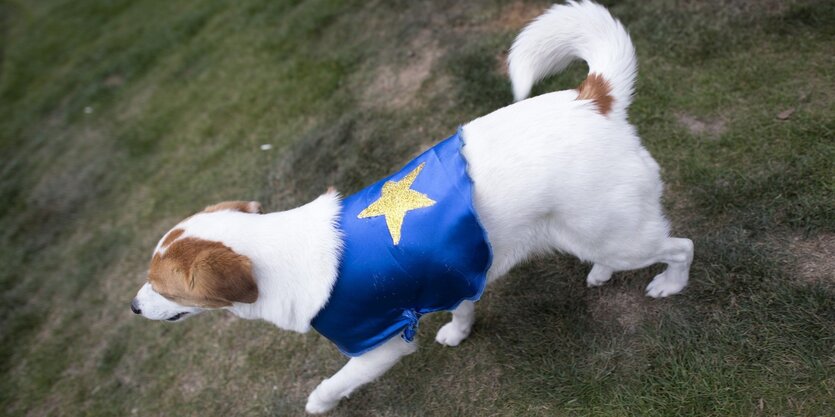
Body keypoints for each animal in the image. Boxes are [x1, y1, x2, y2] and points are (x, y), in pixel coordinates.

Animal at [131, 0, 692, 412]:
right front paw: (458, 331)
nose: (134, 307)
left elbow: (336, 381)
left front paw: (318, 403)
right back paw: (598, 273)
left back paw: (668, 284)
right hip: (587, 231)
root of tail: (591, 98)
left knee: (680, 246)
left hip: (619, 235)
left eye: (165, 288)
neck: (278, 253)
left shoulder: (379, 345)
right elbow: (464, 306)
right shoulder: (454, 268)